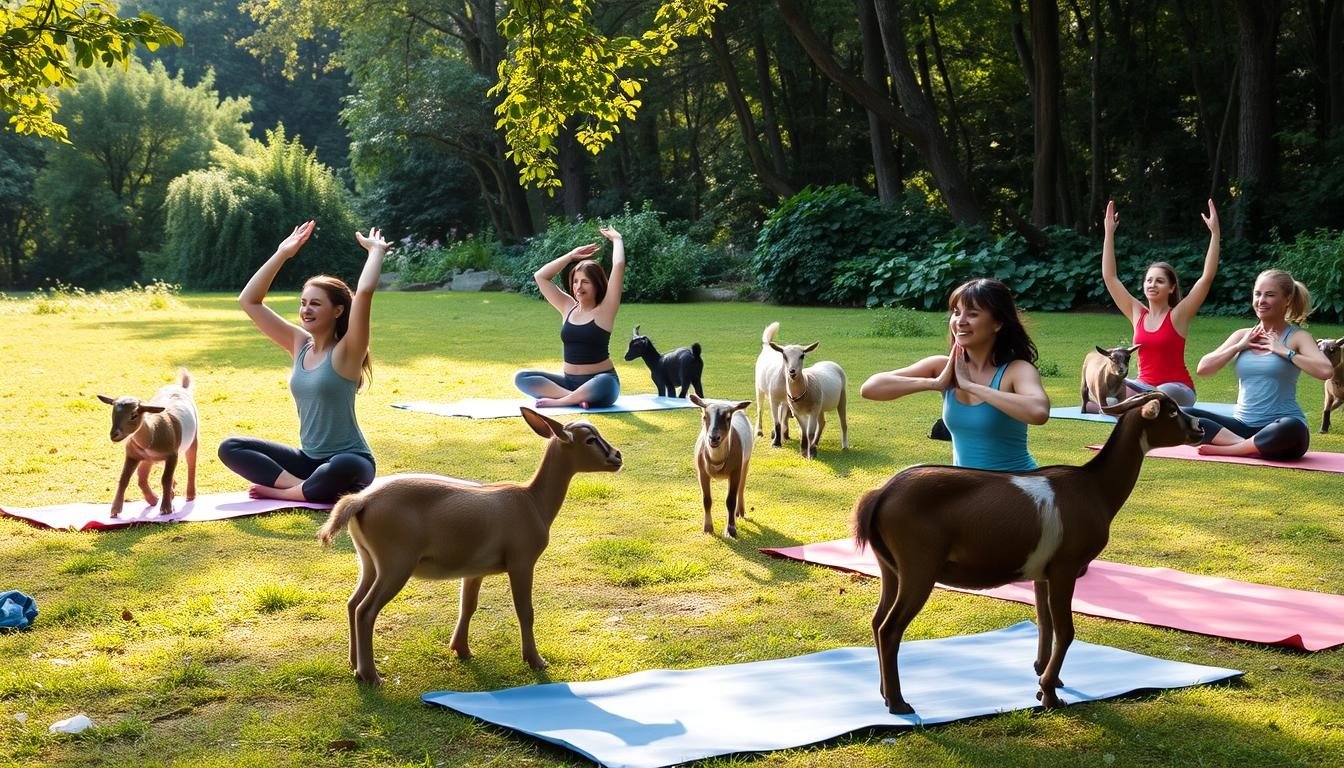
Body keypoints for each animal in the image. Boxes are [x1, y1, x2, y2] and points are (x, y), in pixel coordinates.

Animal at [97, 365, 197, 516]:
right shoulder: (133, 455)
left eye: (133, 415)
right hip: (147, 460)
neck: (153, 433)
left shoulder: (172, 455)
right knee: (142, 479)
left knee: (191, 465)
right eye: (113, 413)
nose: (114, 435)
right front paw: (115, 509)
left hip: (193, 439)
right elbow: (124, 479)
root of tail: (181, 387)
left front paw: (166, 508)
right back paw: (157, 497)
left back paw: (190, 494)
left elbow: (165, 479)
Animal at [315, 408, 623, 685]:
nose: (618, 456)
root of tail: (360, 500)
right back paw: (371, 676)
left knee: (352, 603)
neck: (533, 502)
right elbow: (525, 610)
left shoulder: (475, 570)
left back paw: (355, 665)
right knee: (365, 610)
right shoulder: (522, 561)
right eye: (590, 439)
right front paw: (535, 660)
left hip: (369, 561)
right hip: (395, 564)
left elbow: (468, 605)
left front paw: (461, 650)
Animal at [693, 392, 758, 538]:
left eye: (728, 418)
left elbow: (730, 500)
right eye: (704, 416)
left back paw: (739, 513)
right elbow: (706, 500)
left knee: (741, 488)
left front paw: (731, 530)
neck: (716, 460)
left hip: (746, 461)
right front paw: (708, 528)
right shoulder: (702, 472)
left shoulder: (735, 471)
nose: (714, 438)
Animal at [854, 392, 1204, 720]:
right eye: (1172, 411)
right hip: (919, 568)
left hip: (891, 568)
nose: (1200, 428)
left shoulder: (1042, 573)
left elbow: (1045, 623)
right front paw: (1050, 695)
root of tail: (881, 494)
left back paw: (884, 693)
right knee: (890, 628)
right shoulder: (1066, 567)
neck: (1095, 488)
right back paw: (898, 703)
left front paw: (1046, 677)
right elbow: (1066, 630)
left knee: (877, 621)